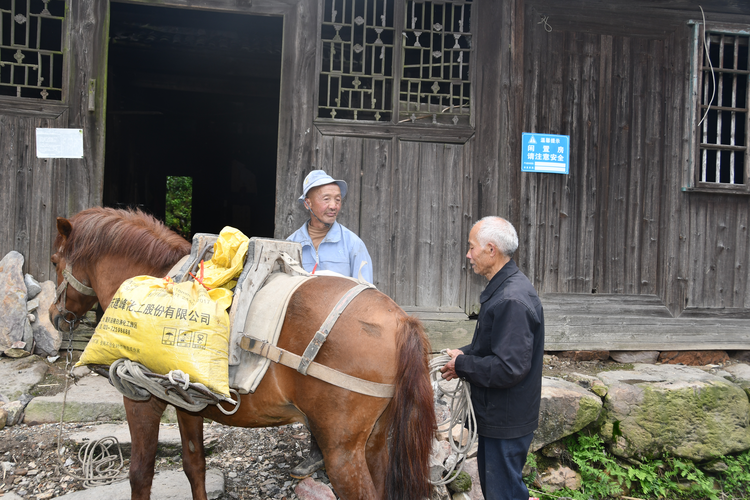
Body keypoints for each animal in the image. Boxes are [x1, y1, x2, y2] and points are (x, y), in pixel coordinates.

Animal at [48, 205, 434, 498]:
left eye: (54, 260)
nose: (54, 316)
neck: (157, 280)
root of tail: (400, 320)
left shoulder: (141, 399)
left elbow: (140, 474)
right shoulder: (186, 400)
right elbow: (194, 465)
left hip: (342, 451)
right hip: (376, 441)